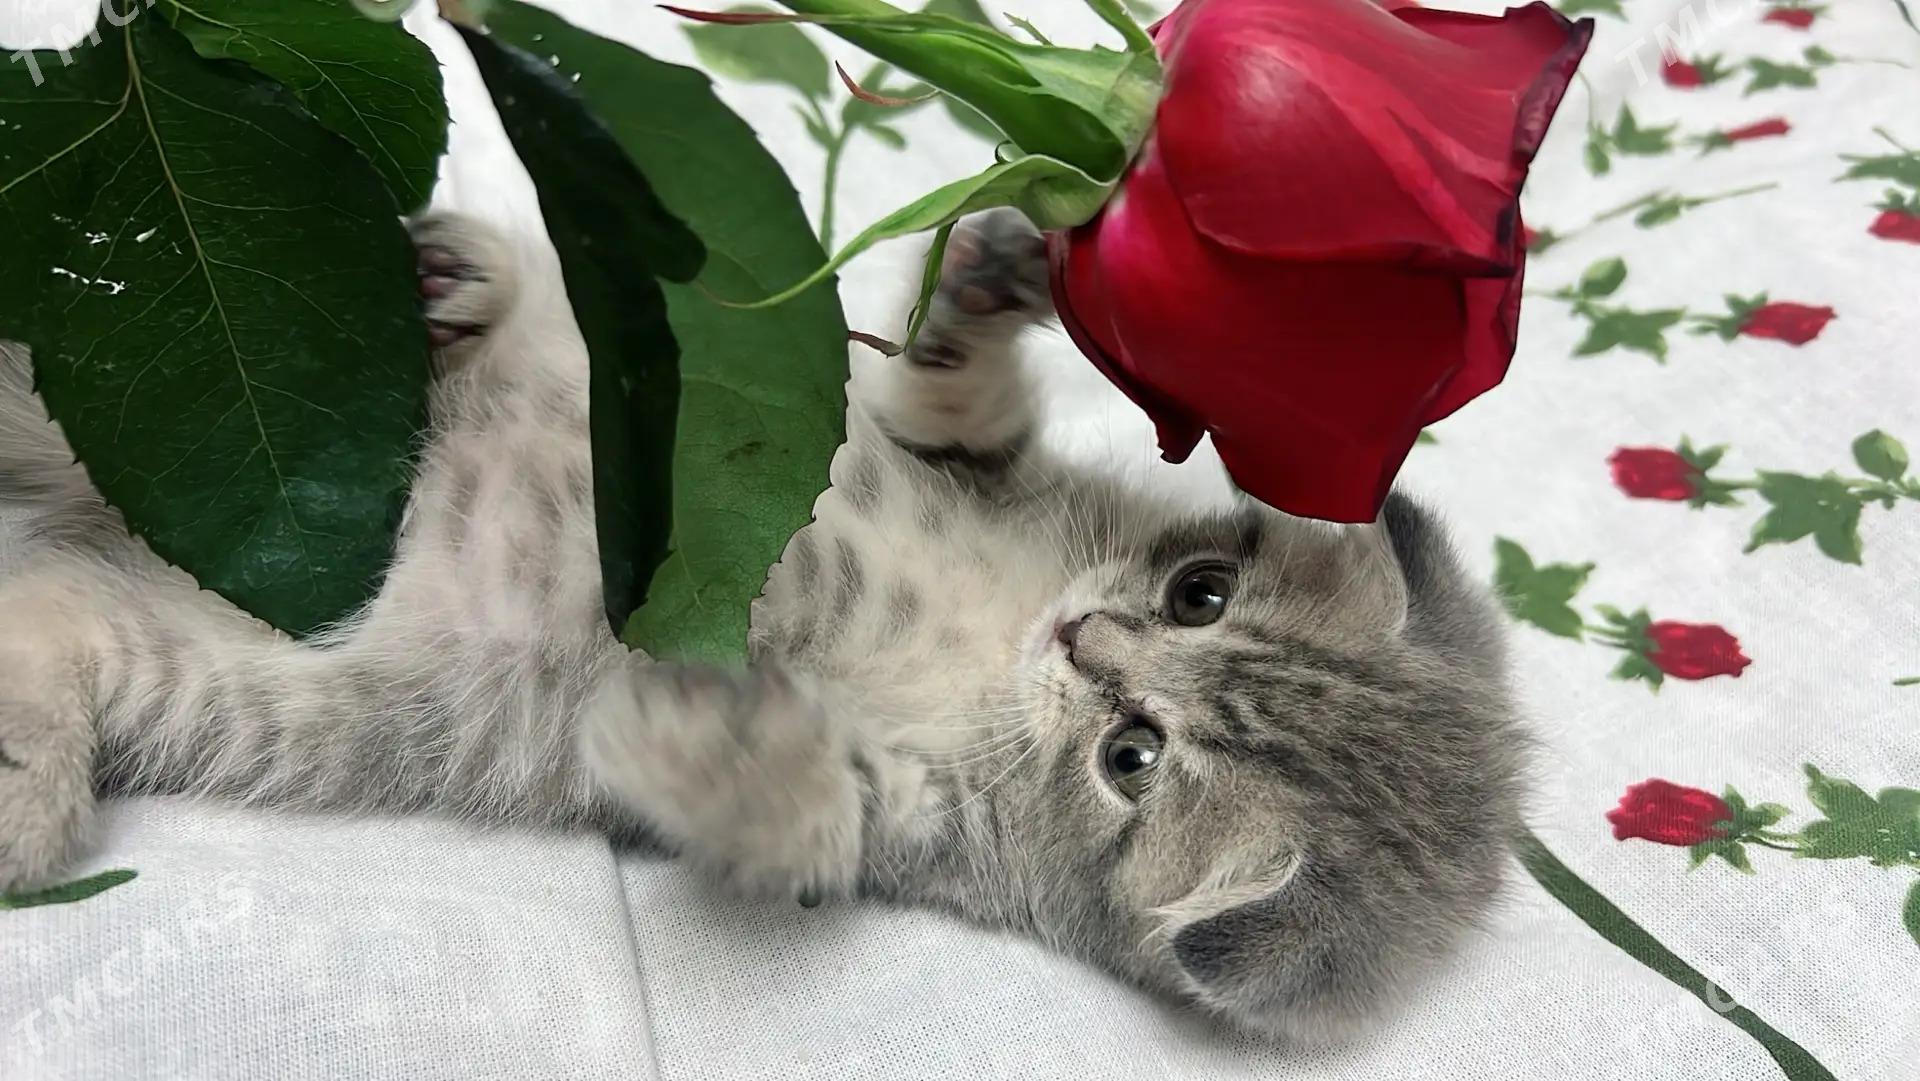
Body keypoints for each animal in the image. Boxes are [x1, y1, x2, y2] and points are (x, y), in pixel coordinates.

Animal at [0, 208, 1525, 1041]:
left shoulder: (910, 823)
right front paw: (986, 280)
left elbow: (800, 807)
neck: (1001, 637)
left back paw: (22, 785)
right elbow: (949, 398)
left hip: (199, 653)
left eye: (1133, 759)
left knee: (46, 612)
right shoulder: (948, 457)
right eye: (1196, 589)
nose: (1085, 639)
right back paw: (453, 291)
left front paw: (695, 721)